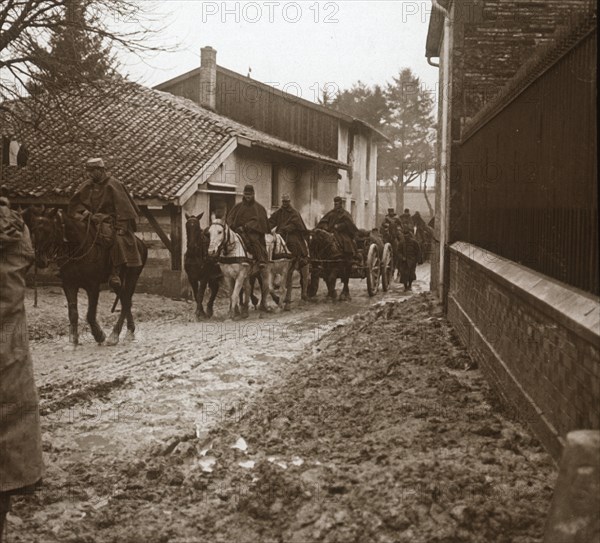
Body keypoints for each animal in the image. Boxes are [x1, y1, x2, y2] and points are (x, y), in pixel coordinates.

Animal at [30, 208, 148, 344]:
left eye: (48, 231)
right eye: (33, 230)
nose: (39, 260)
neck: (78, 248)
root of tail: (141, 243)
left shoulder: (93, 286)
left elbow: (90, 314)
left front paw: (99, 335)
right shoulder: (69, 284)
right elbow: (73, 313)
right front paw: (74, 339)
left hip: (132, 277)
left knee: (126, 302)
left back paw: (115, 335)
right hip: (119, 283)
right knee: (125, 301)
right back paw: (129, 331)